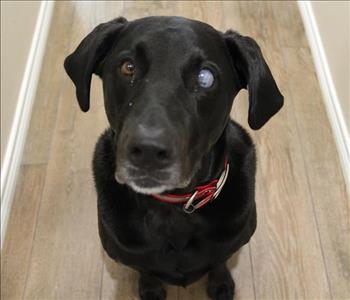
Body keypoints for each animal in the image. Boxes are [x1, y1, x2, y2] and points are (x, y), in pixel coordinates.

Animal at [64, 17, 284, 300]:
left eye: (205, 77)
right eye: (128, 67)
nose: (148, 151)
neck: (174, 207)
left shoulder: (230, 242)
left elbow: (219, 261)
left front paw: (222, 284)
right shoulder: (130, 254)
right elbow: (145, 269)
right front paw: (150, 289)